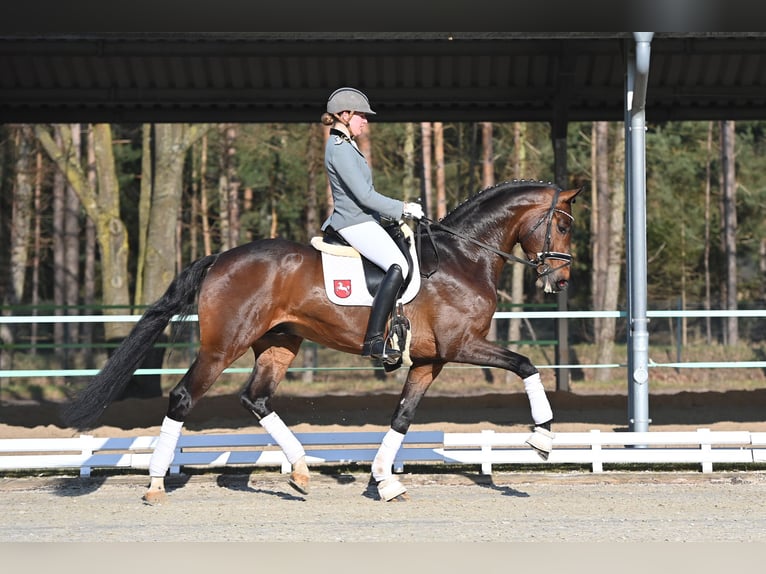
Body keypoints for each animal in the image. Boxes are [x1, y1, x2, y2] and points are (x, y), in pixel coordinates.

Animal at [64, 180, 584, 504]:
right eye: (563, 225)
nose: (560, 281)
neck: (464, 256)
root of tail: (220, 259)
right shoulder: (463, 345)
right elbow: (526, 364)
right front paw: (542, 438)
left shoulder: (430, 360)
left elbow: (403, 417)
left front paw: (384, 482)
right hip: (222, 346)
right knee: (183, 397)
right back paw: (155, 482)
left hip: (278, 343)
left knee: (256, 398)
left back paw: (298, 469)